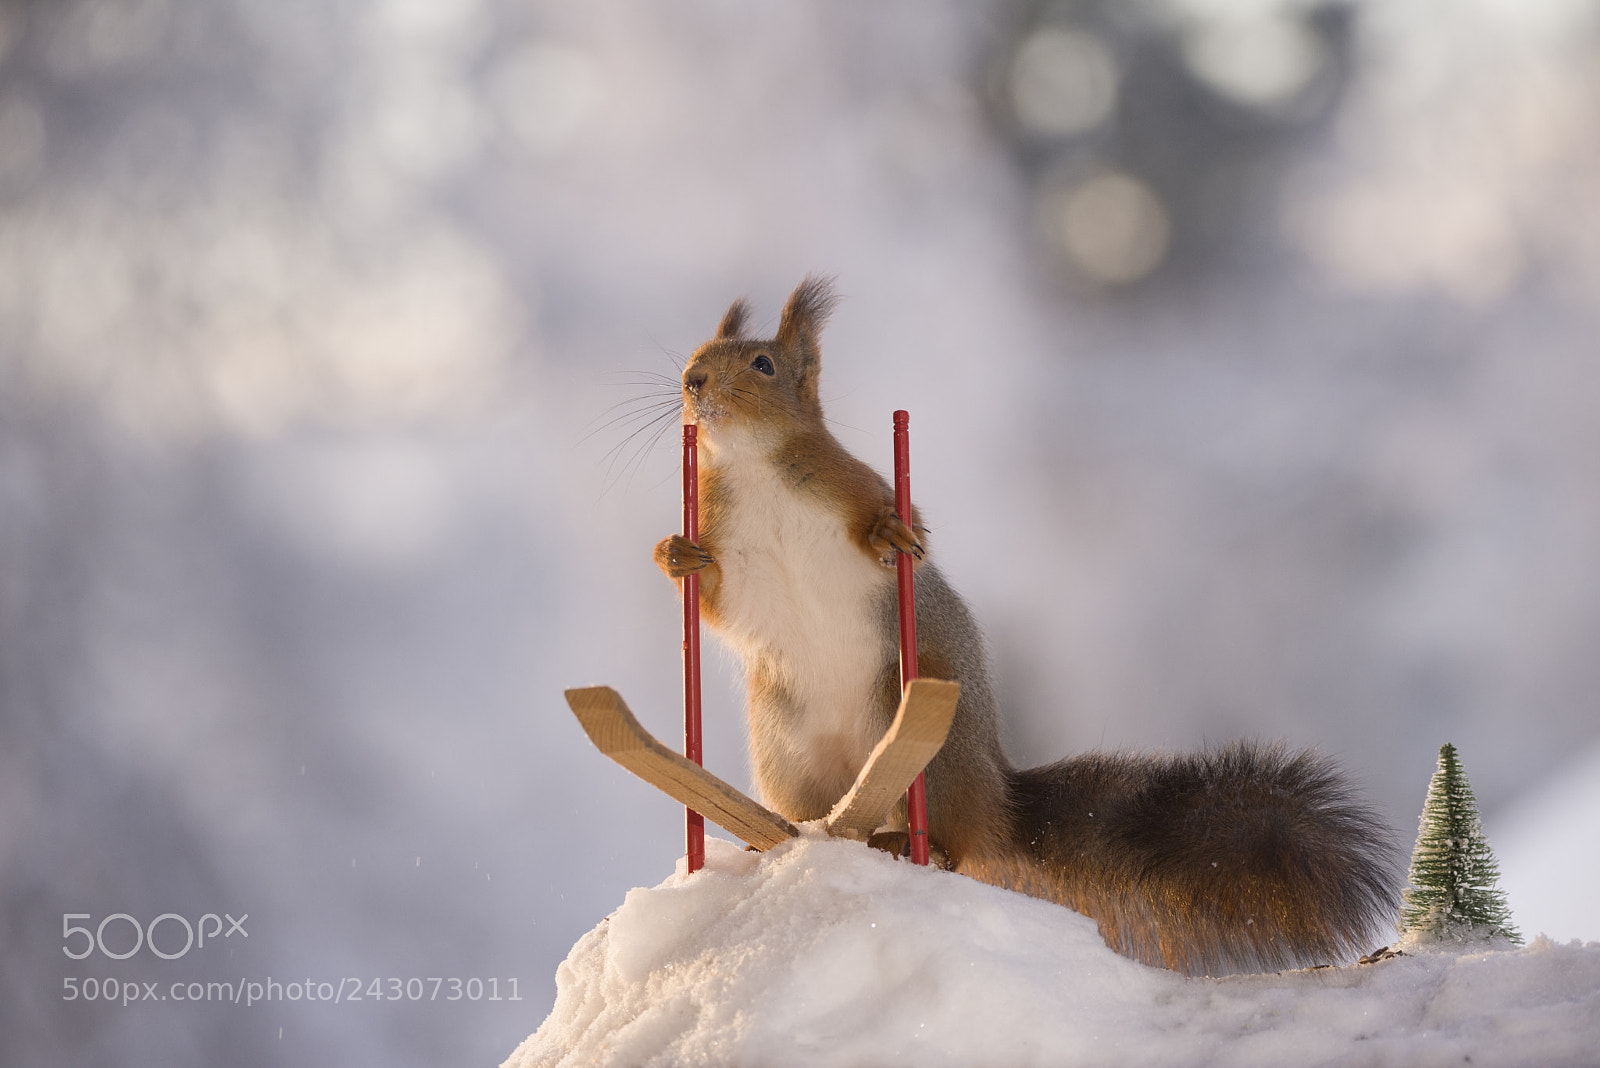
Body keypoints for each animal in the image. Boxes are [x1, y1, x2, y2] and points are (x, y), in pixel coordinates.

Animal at [653, 276, 1399, 976]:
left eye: (763, 365)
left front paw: (893, 535)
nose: (691, 382)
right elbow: (715, 603)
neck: (753, 466)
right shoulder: (729, 546)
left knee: (954, 847)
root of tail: (997, 798)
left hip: (928, 740)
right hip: (788, 750)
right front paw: (674, 556)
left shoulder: (853, 485)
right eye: (696, 354)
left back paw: (915, 843)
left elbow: (895, 520)